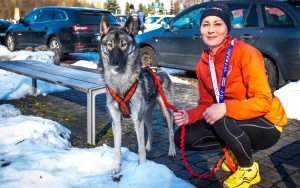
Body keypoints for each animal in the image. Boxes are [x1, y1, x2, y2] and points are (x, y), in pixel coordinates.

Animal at [99, 15, 177, 174]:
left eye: (123, 45)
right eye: (109, 45)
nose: (115, 62)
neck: (121, 82)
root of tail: (161, 70)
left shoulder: (136, 119)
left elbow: (139, 149)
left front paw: (141, 168)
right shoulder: (116, 121)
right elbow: (117, 149)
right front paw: (116, 168)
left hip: (166, 112)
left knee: (171, 131)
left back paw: (171, 150)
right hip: (146, 114)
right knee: (152, 130)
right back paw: (148, 147)